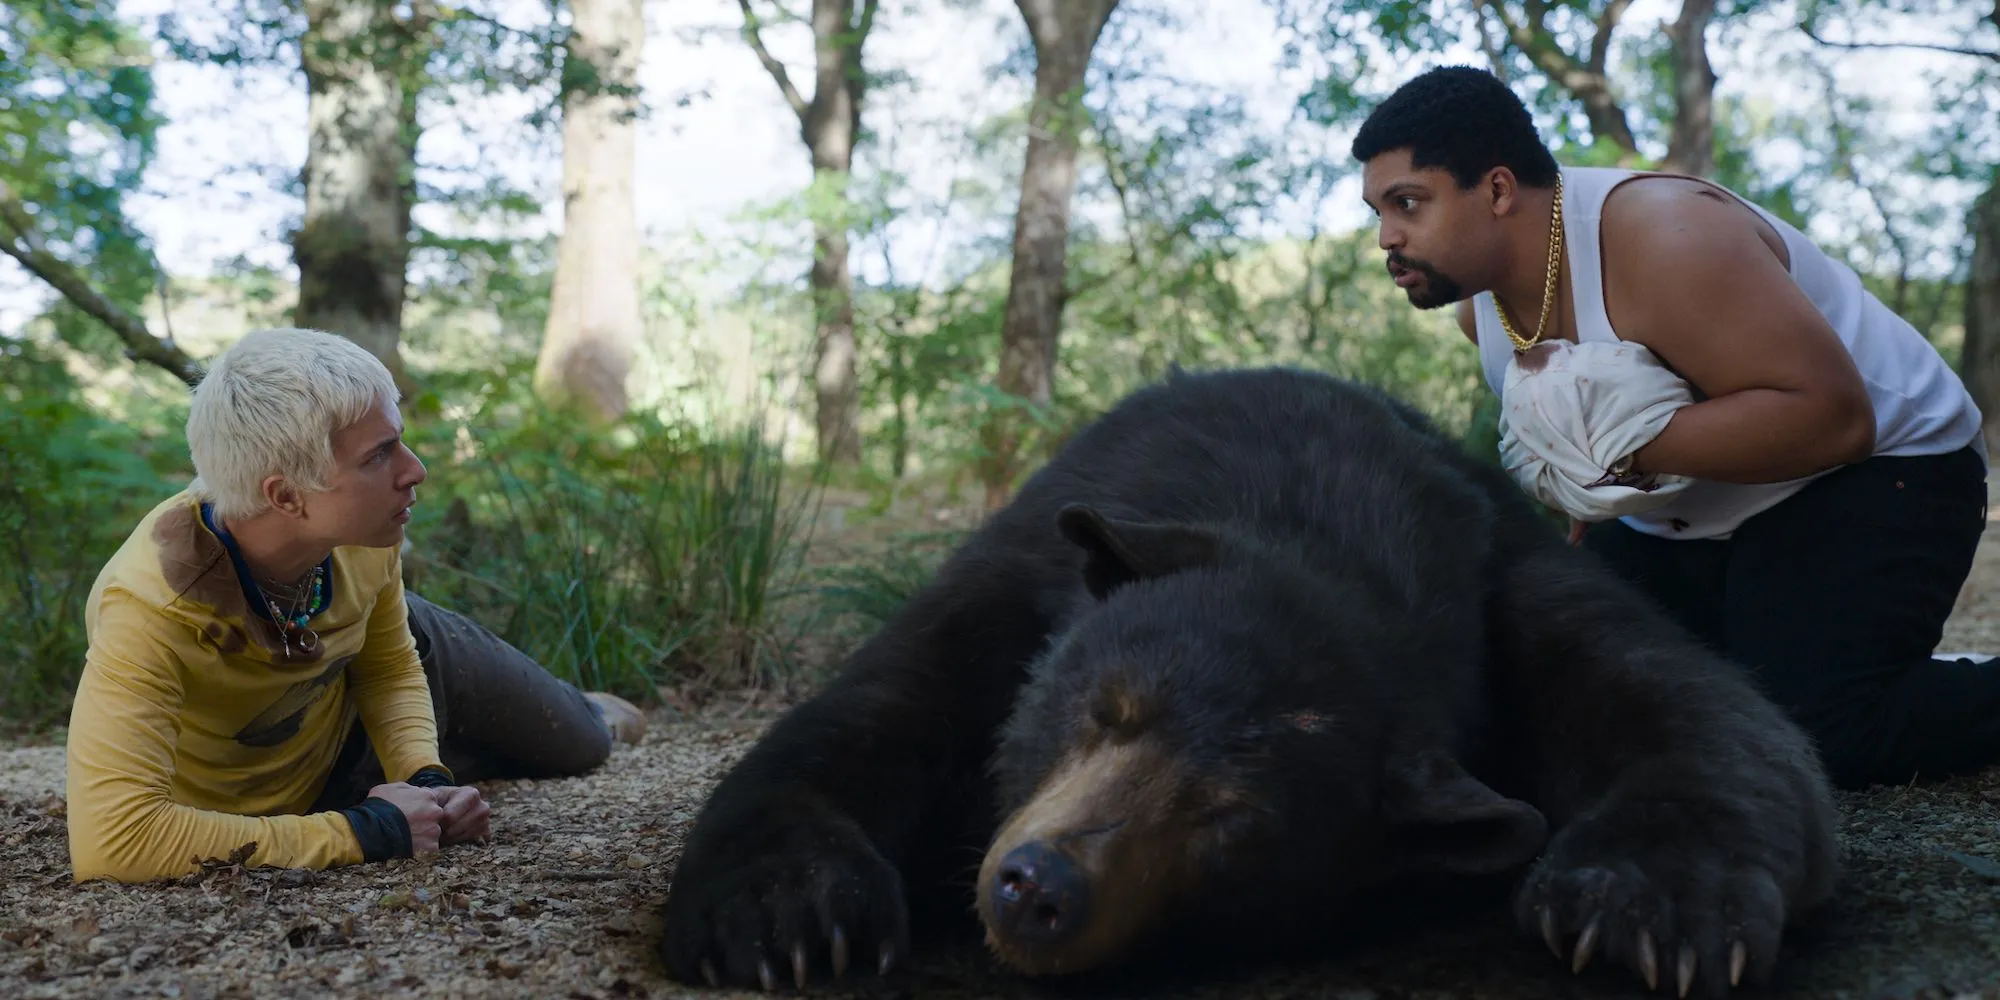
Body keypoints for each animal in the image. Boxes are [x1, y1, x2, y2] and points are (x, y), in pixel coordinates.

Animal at [660, 364, 1840, 996]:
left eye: (1231, 820)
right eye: (1105, 710)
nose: (1038, 886)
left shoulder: (1509, 575)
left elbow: (1708, 716)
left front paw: (1646, 907)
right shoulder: (1022, 573)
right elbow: (869, 716)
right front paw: (793, 914)